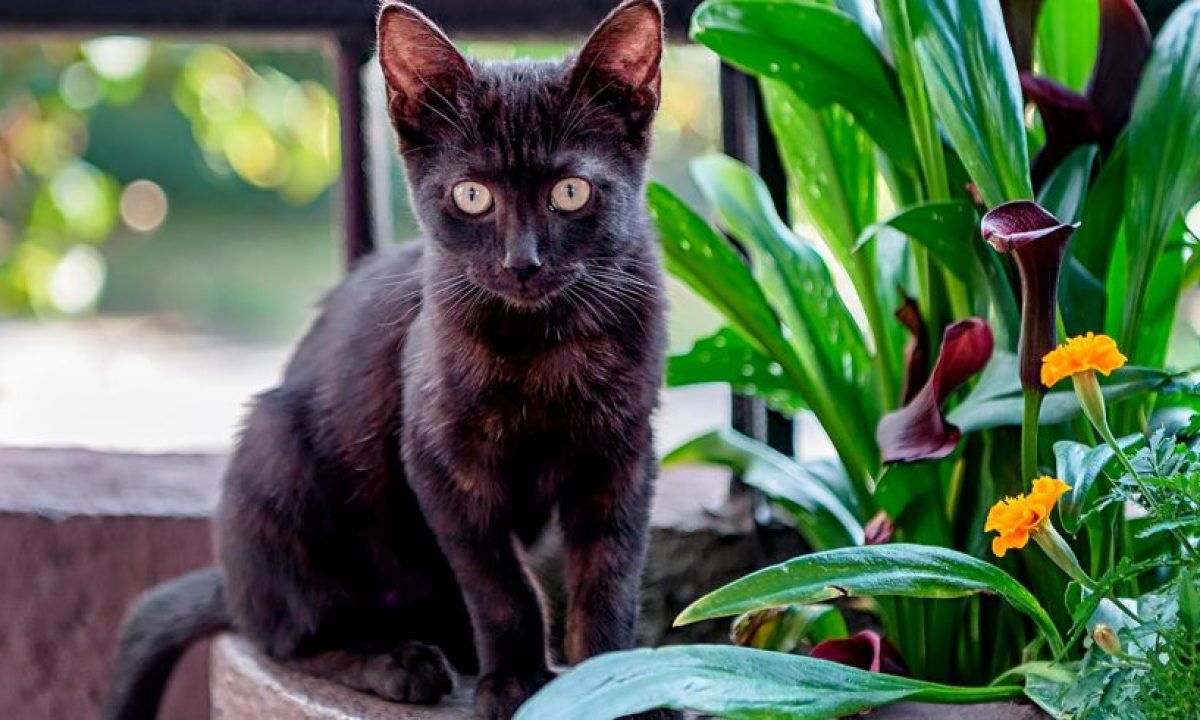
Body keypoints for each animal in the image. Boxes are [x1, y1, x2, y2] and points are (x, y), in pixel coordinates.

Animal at [102, 1, 667, 720]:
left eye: (570, 193)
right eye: (472, 195)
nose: (523, 262)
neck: (544, 345)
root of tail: (232, 583)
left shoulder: (622, 454)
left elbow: (608, 578)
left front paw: (615, 685)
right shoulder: (438, 460)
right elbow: (499, 584)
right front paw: (515, 682)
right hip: (276, 454)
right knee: (287, 634)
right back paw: (399, 661)